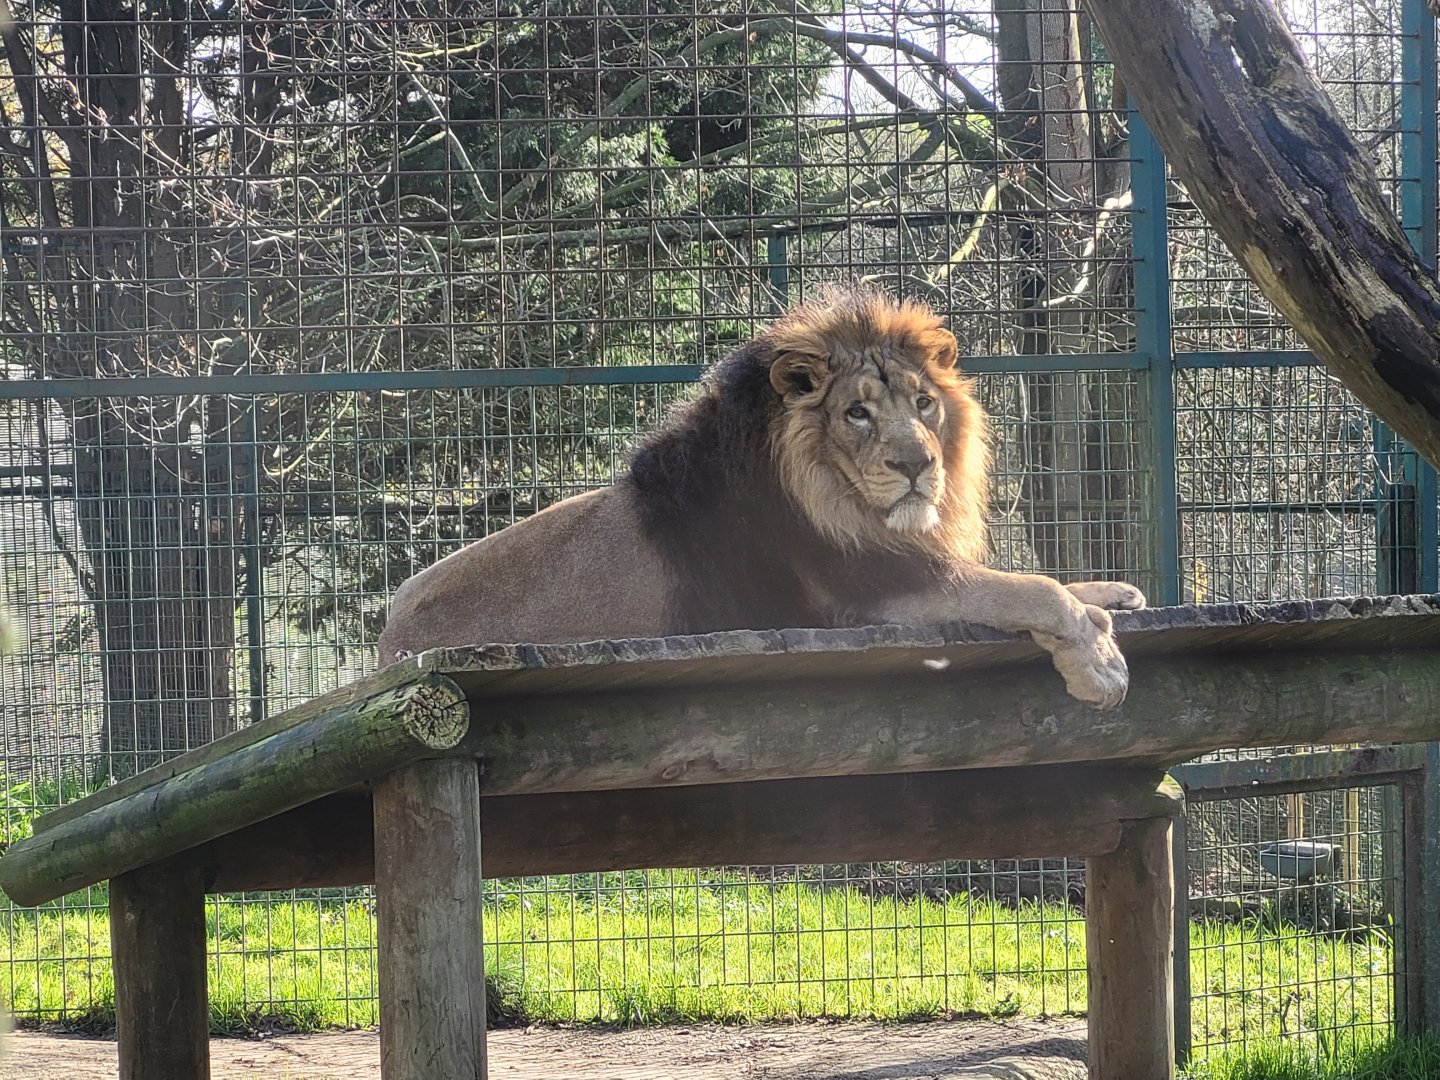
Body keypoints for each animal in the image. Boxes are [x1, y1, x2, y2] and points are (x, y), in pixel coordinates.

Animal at [379, 288, 1143, 707]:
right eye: (857, 414)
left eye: (925, 404)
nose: (918, 465)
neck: (830, 493)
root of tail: (386, 647)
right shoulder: (865, 592)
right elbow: (1027, 588)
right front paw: (1099, 662)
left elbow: (1030, 579)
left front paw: (1115, 594)